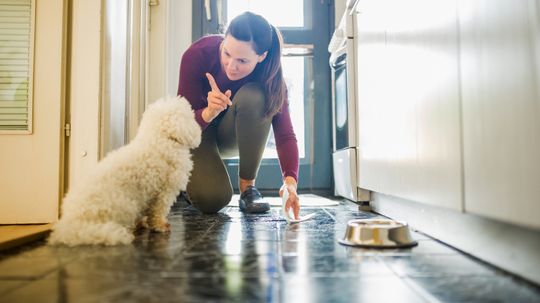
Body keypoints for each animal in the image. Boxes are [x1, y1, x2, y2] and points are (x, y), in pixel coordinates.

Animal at [47, 97, 200, 247]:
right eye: (190, 115)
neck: (161, 138)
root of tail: (71, 223)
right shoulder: (165, 190)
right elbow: (159, 210)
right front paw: (160, 225)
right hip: (126, 203)